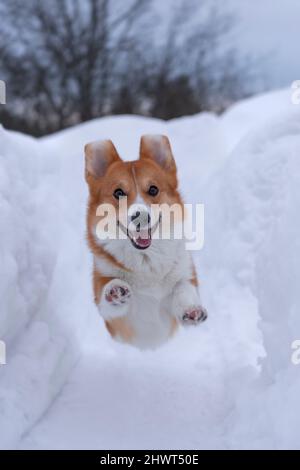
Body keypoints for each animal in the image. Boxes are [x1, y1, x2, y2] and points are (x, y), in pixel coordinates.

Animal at [84, 136, 206, 348]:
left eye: (153, 189)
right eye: (118, 193)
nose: (140, 216)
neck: (147, 260)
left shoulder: (184, 273)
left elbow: (183, 286)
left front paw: (191, 309)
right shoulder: (118, 324)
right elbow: (107, 294)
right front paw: (114, 290)